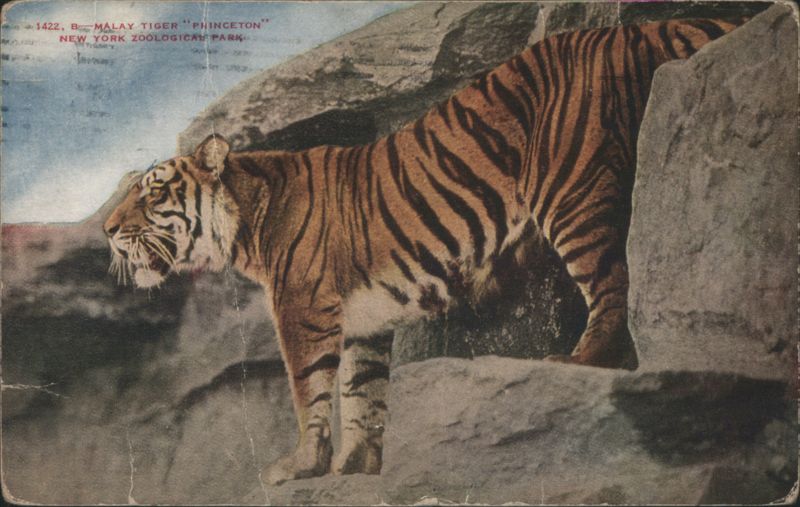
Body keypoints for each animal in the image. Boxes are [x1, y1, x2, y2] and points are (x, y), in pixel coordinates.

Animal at [103, 17, 746, 485]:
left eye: (152, 191)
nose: (107, 229)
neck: (244, 219)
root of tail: (630, 27)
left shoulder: (303, 310)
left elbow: (310, 390)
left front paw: (300, 466)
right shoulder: (360, 320)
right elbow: (361, 394)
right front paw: (356, 467)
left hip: (572, 191)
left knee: (613, 284)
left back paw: (580, 359)